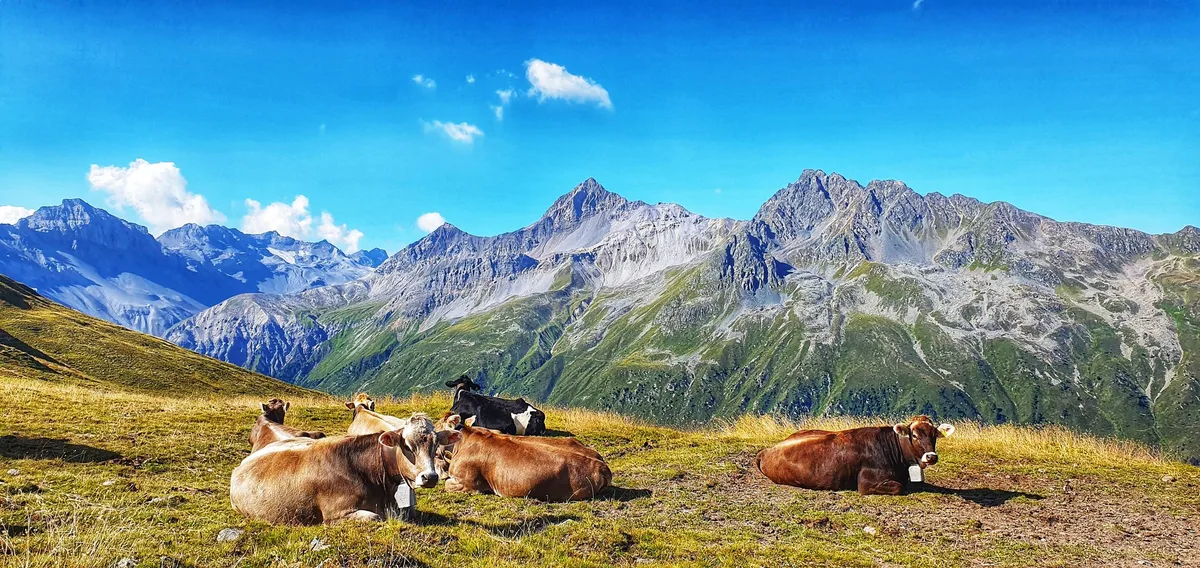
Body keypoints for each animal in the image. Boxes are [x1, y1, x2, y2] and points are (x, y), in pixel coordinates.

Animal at [755, 415, 956, 495]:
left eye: (935, 435)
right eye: (914, 435)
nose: (931, 456)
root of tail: (767, 450)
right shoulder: (866, 483)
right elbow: (899, 487)